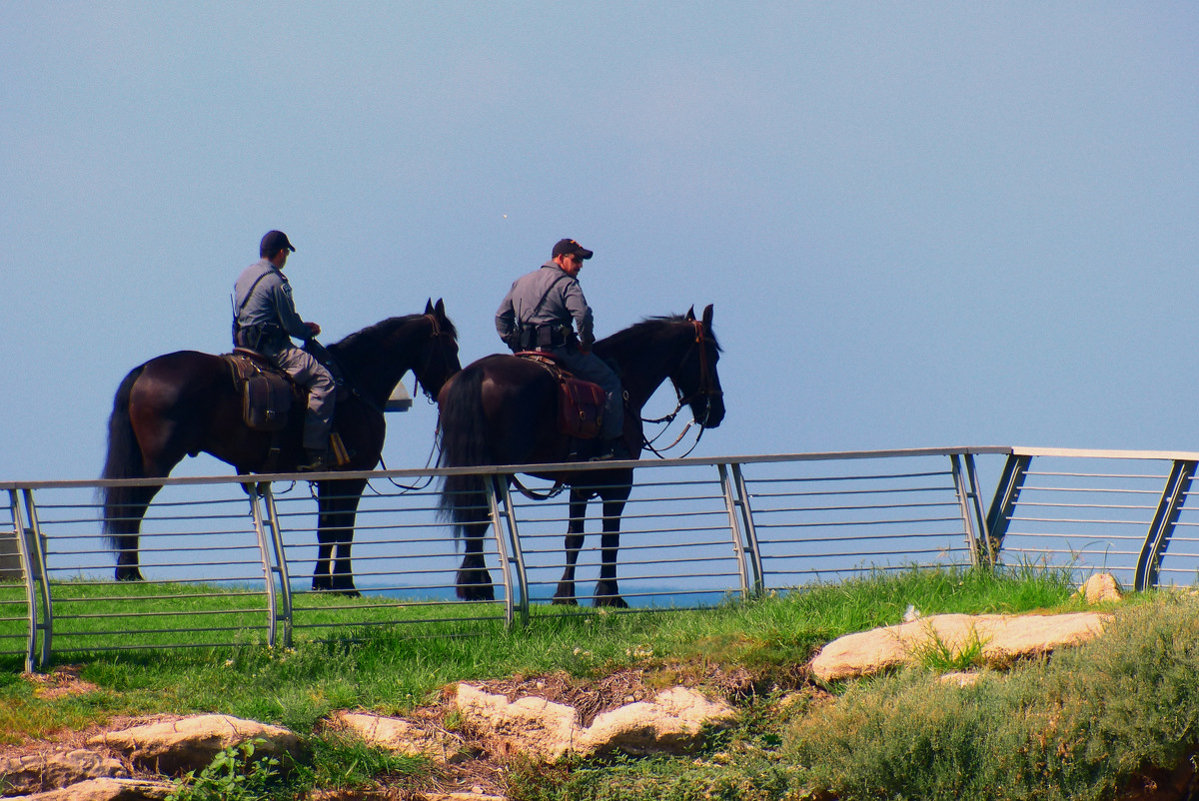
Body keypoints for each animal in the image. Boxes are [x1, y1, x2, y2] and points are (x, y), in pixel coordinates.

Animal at [99, 297, 458, 592]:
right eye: (451, 346)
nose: (450, 385)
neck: (356, 383)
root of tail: (146, 369)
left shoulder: (330, 477)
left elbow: (327, 528)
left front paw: (322, 584)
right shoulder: (353, 474)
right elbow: (344, 528)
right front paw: (345, 585)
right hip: (156, 465)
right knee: (133, 506)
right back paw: (129, 572)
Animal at [438, 306, 724, 606]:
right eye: (713, 355)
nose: (717, 411)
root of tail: (477, 373)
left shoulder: (580, 483)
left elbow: (574, 537)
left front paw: (565, 595)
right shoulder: (619, 483)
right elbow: (610, 537)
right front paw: (610, 596)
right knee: (478, 514)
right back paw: (477, 585)